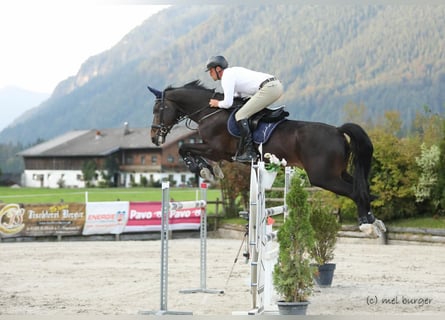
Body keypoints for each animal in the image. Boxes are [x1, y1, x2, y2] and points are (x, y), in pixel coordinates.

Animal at [147, 79, 386, 238]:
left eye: (159, 108)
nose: (154, 137)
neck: (210, 112)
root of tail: (338, 130)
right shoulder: (217, 152)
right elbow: (192, 151)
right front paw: (212, 171)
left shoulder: (215, 149)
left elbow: (185, 149)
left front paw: (204, 170)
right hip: (339, 173)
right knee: (362, 189)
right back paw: (375, 221)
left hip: (323, 177)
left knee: (355, 192)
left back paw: (366, 225)